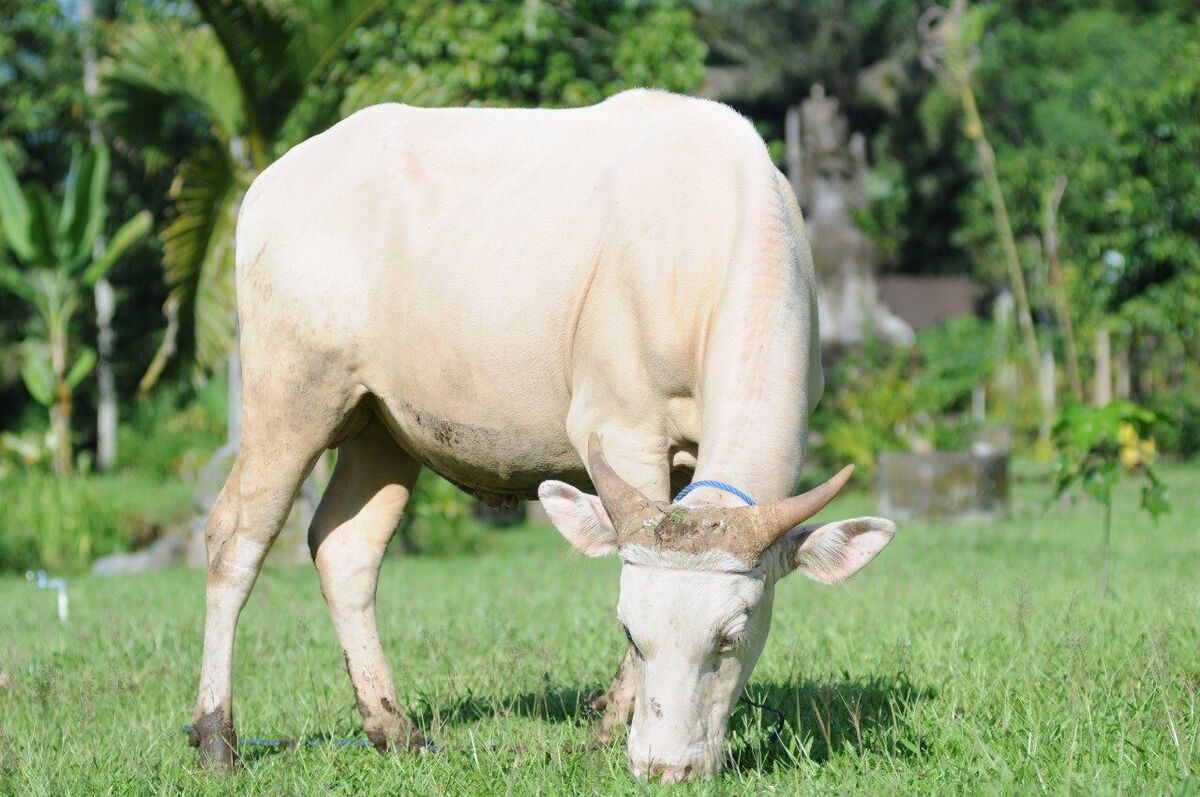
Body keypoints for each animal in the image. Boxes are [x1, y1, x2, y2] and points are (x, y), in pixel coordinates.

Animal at [188, 88, 896, 782]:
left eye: (731, 636)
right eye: (631, 632)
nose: (664, 768)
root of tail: (270, 182)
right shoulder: (623, 430)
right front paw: (609, 731)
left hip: (380, 425)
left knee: (346, 547)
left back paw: (396, 731)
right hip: (292, 395)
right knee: (236, 536)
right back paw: (217, 738)